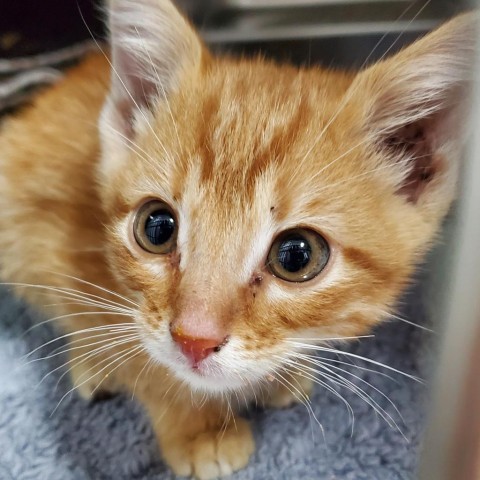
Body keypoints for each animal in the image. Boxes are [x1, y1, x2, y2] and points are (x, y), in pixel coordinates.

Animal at [0, 1, 474, 478]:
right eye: (157, 227)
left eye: (296, 256)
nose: (193, 340)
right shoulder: (66, 249)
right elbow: (139, 357)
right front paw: (198, 426)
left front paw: (282, 374)